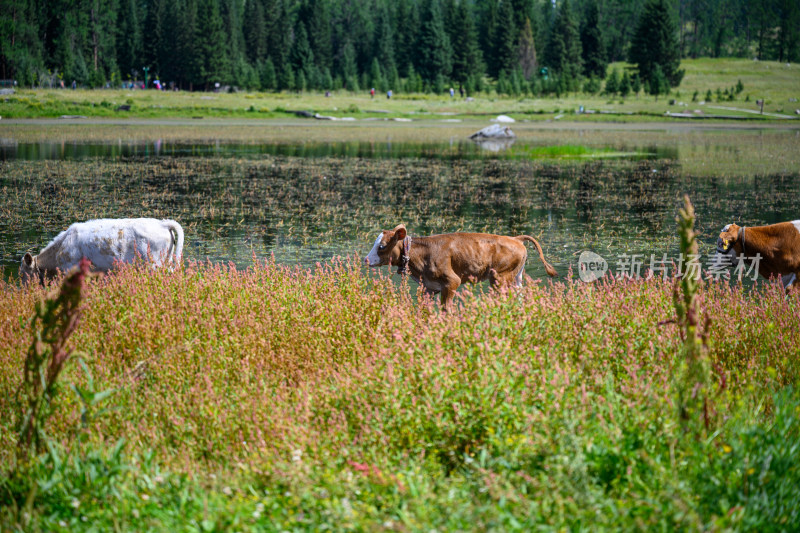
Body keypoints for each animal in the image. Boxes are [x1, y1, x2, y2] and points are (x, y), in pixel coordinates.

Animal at [364, 223, 556, 308]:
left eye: (382, 246)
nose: (365, 259)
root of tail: (515, 238)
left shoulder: (451, 281)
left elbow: (446, 308)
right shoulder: (428, 287)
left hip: (500, 277)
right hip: (515, 278)